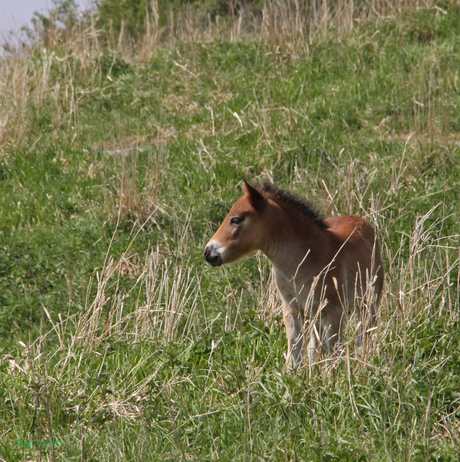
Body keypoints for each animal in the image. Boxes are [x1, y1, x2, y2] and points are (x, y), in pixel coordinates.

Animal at [205, 180, 384, 368]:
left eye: (236, 219)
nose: (208, 252)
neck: (306, 258)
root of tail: (363, 222)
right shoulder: (292, 310)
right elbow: (295, 355)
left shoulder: (333, 310)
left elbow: (332, 355)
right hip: (316, 315)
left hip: (367, 303)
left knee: (363, 337)